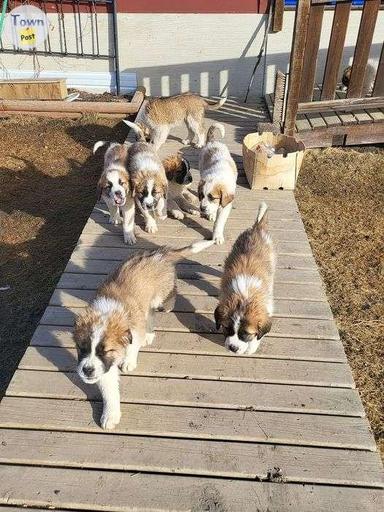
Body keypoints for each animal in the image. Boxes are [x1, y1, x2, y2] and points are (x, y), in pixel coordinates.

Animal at [73, 238, 216, 430]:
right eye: (82, 348)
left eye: (105, 351)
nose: (87, 370)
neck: (108, 313)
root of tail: (159, 253)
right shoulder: (104, 366)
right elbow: (109, 388)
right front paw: (111, 414)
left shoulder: (133, 330)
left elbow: (133, 345)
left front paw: (129, 361)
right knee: (150, 312)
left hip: (161, 295)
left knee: (167, 299)